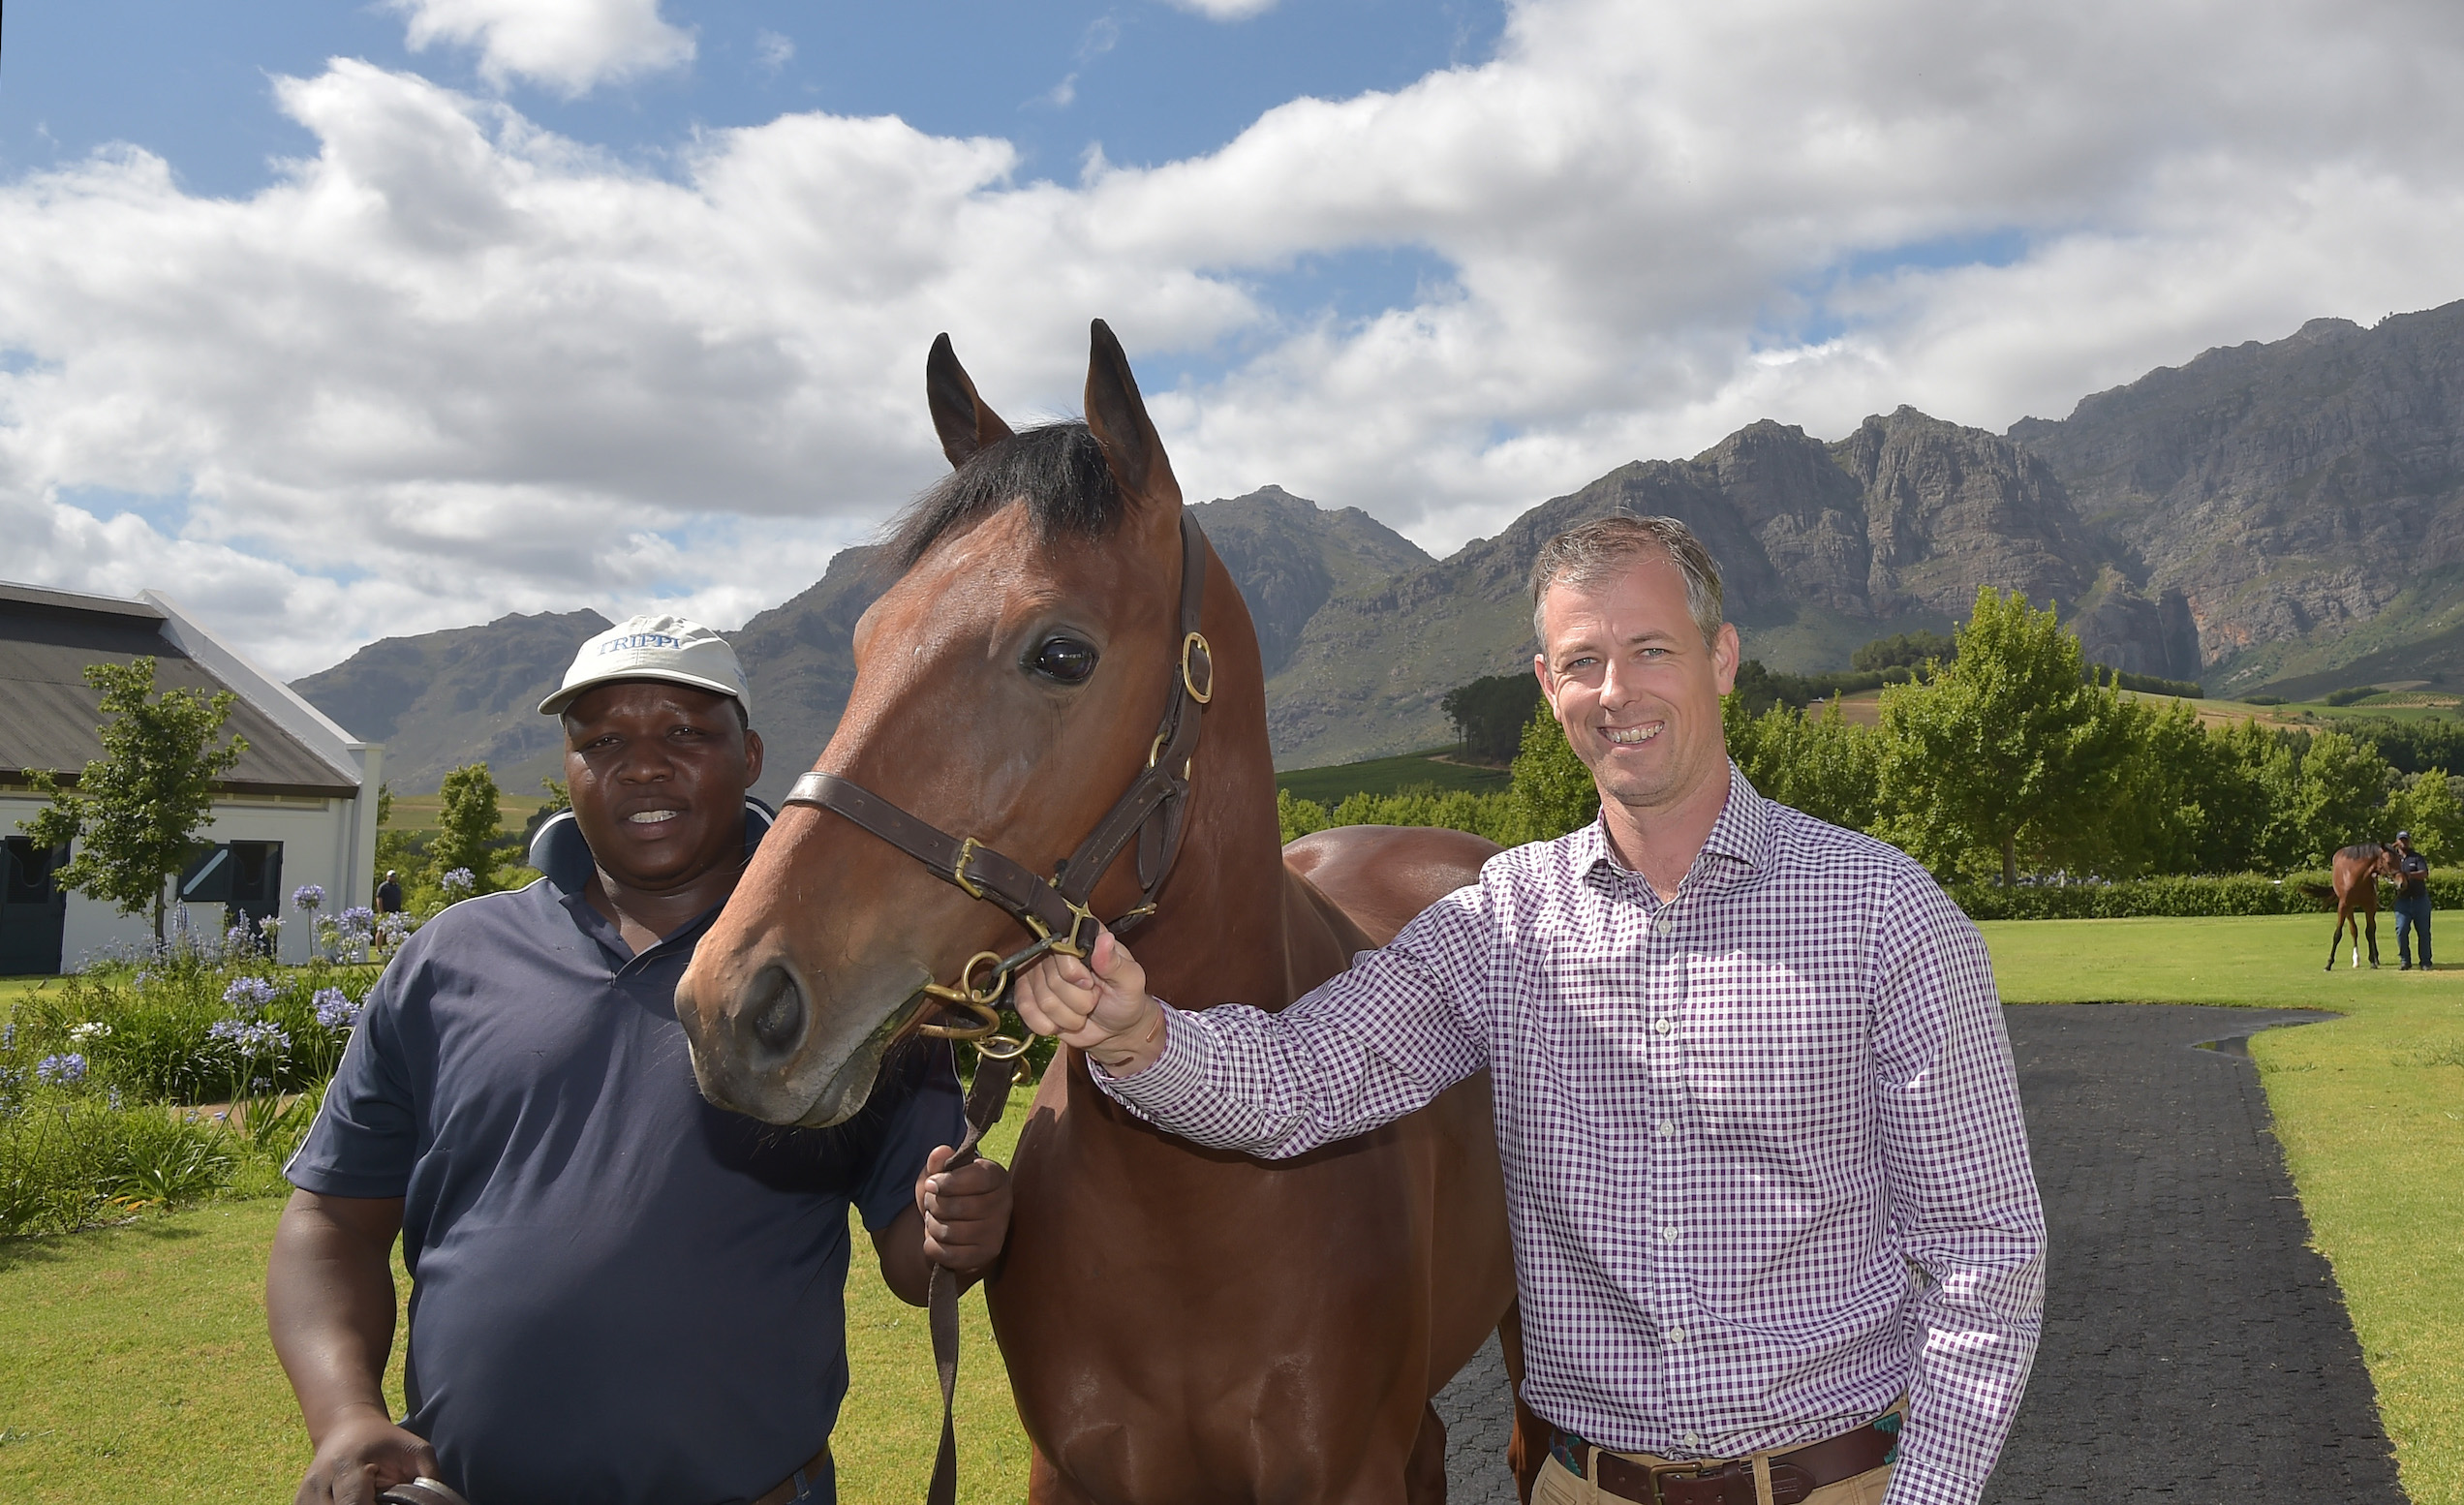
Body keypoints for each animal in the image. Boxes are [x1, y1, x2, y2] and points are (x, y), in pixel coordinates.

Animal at [2296, 842, 2394, 970]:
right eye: (2389, 861)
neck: (2357, 877)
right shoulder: (2344, 906)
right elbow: (2338, 934)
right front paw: (2329, 964)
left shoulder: (2370, 906)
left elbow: (2370, 931)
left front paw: (2373, 961)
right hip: (2349, 909)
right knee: (2354, 930)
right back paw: (2356, 960)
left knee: (2371, 929)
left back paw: (2374, 958)